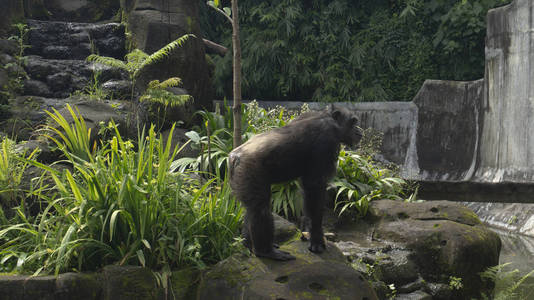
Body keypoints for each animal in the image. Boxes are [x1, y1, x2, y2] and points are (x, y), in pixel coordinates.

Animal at [228, 105, 362, 260]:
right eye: (353, 122)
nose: (359, 130)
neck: (330, 120)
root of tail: (233, 157)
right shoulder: (325, 141)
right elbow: (314, 187)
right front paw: (317, 241)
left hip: (240, 178)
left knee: (250, 209)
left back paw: (249, 245)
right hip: (249, 171)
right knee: (259, 208)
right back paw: (266, 251)